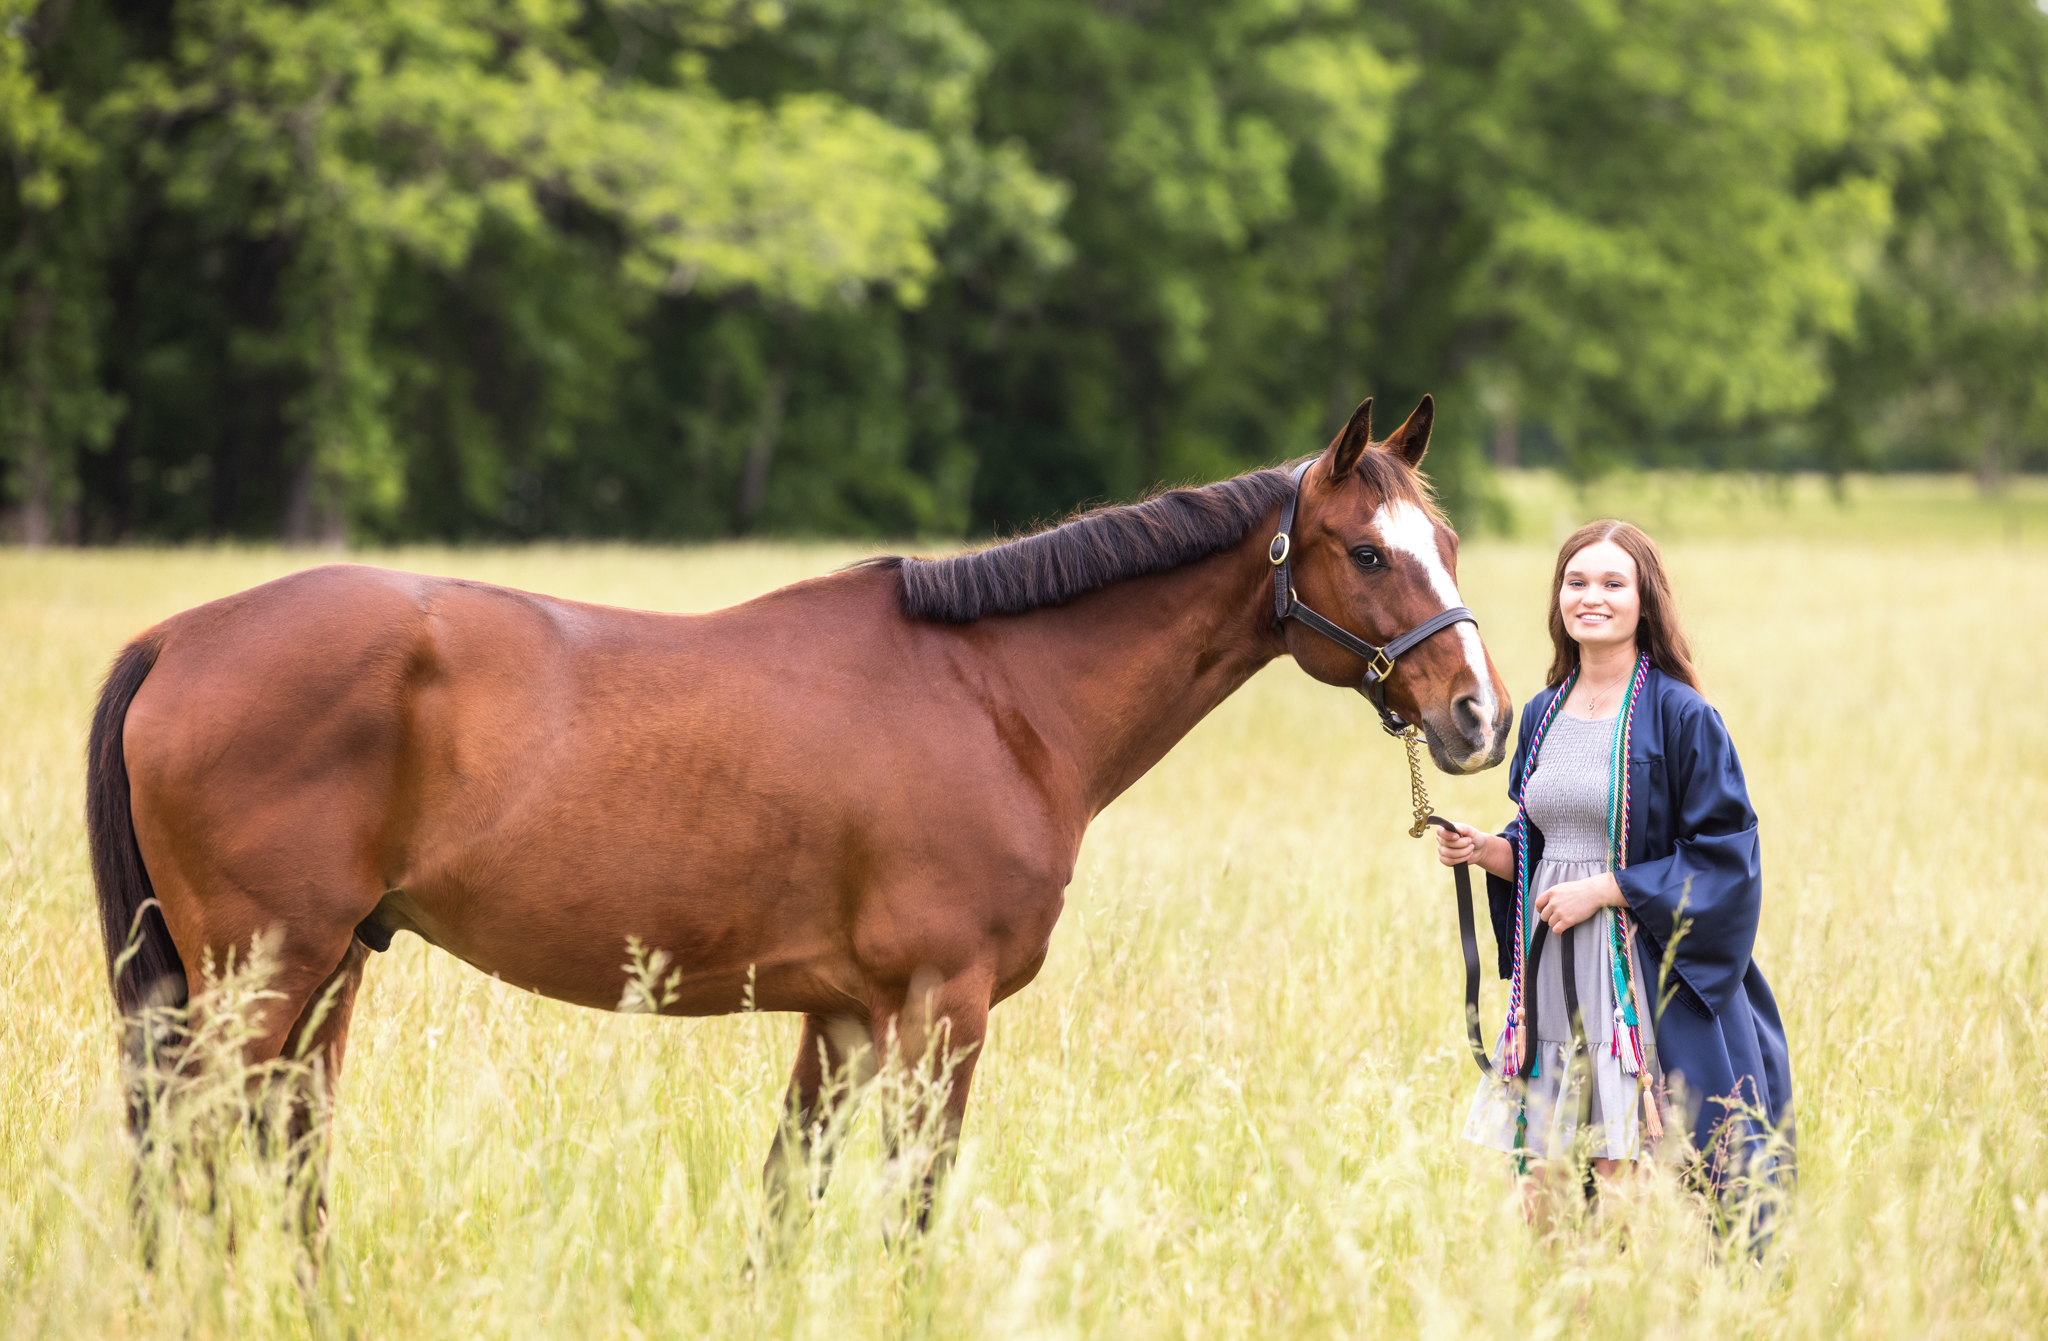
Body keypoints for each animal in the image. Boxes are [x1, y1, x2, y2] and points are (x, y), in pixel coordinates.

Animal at [88, 393, 1515, 1220]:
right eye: (1367, 552)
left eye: (1446, 548)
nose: (1476, 717)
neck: (995, 695)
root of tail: (175, 638)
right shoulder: (940, 1009)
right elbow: (910, 1208)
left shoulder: (839, 1020)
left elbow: (786, 1207)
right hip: (260, 979)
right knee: (201, 1159)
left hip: (322, 977)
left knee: (278, 1169)